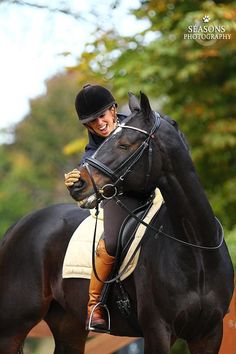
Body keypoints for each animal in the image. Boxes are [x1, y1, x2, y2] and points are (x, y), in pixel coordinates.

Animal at [0, 92, 233, 352]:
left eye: (124, 144)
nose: (77, 184)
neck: (195, 247)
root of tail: (18, 226)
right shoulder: (157, 331)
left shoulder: (209, 334)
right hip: (12, 328)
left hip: (68, 326)